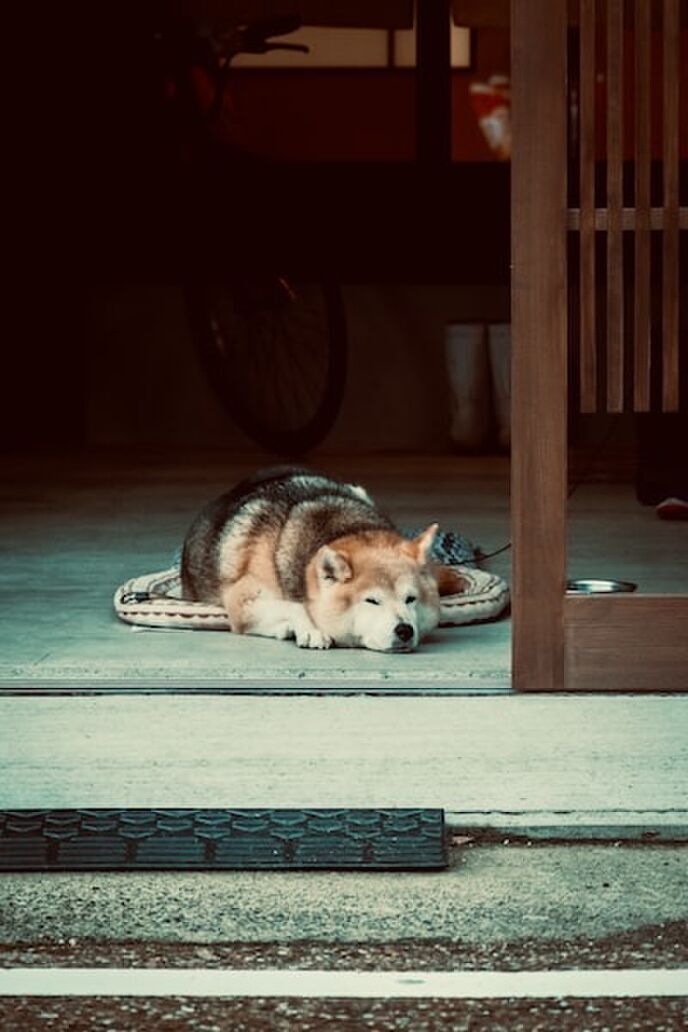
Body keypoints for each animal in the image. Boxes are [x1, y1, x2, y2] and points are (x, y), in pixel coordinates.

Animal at [181, 467, 464, 652]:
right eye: (372, 601)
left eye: (410, 599)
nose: (404, 630)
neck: (342, 527)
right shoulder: (242, 598)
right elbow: (294, 606)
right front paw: (312, 629)